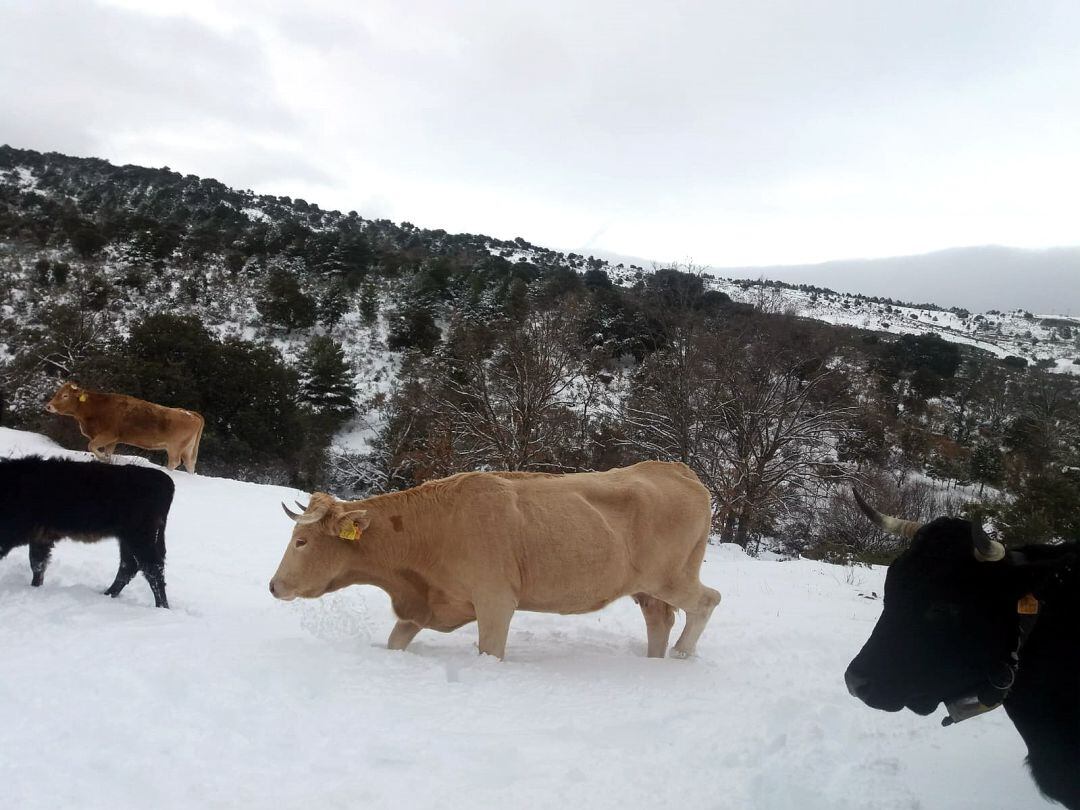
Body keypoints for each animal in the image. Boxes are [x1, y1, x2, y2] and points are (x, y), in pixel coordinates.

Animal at [0, 457, 172, 609]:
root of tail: (165, 481)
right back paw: (107, 595)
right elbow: (37, 564)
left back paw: (162, 607)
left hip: (139, 537)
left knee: (152, 569)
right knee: (129, 566)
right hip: (128, 539)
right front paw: (35, 588)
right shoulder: (40, 537)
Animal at [45, 384, 204, 475]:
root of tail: (190, 413)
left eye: (65, 395)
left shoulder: (107, 435)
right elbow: (107, 453)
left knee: (174, 462)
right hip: (188, 449)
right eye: (57, 393)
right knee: (190, 464)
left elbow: (91, 446)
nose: (48, 406)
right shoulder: (113, 440)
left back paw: (163, 471)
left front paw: (103, 458)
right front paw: (106, 460)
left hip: (175, 447)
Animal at [266, 462, 721, 660]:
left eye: (302, 540)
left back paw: (681, 656)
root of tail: (676, 468)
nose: (273, 585)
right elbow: (396, 642)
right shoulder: (426, 605)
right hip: (647, 589)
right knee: (660, 620)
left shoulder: (496, 601)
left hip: (672, 577)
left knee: (707, 600)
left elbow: (490, 651)